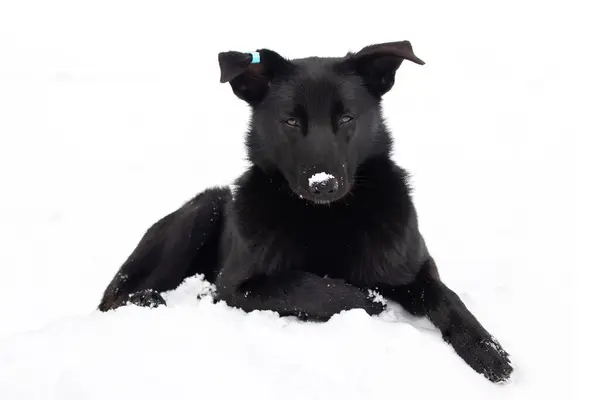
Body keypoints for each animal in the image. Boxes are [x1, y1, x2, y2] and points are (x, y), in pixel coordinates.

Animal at [97, 41, 510, 384]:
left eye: (346, 118)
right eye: (291, 121)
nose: (322, 184)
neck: (326, 217)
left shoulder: (417, 269)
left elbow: (449, 299)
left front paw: (488, 351)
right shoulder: (234, 286)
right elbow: (312, 287)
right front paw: (370, 301)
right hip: (205, 208)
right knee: (115, 297)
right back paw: (150, 299)